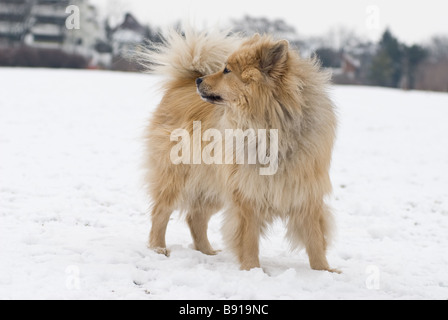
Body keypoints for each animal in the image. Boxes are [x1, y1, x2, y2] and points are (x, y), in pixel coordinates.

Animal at [142, 28, 338, 272]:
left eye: (227, 70)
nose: (199, 80)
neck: (271, 125)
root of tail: (181, 82)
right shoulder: (247, 194)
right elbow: (249, 239)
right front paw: (253, 270)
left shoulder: (305, 193)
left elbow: (315, 239)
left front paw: (324, 271)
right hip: (178, 176)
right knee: (160, 212)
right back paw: (158, 248)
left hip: (213, 184)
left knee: (195, 217)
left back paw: (207, 252)